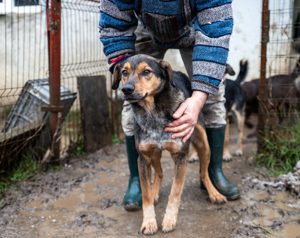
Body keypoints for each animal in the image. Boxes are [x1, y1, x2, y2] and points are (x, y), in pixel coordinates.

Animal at [112, 54, 225, 235]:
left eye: (146, 72)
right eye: (124, 72)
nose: (126, 89)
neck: (153, 113)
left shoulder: (181, 156)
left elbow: (175, 192)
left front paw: (169, 220)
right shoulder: (143, 158)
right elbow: (146, 195)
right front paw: (149, 222)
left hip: (203, 143)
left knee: (203, 172)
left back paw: (215, 194)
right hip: (154, 154)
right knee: (159, 173)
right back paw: (155, 192)